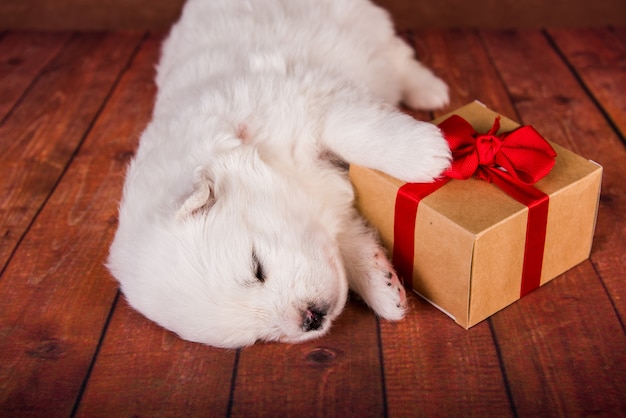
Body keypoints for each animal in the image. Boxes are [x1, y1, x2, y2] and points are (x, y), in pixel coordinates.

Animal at [107, 0, 448, 348]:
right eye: (255, 336)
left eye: (256, 267)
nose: (311, 319)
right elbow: (348, 239)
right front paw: (383, 287)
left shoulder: (309, 100)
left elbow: (353, 130)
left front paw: (426, 153)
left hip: (363, 22)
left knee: (398, 56)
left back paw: (429, 90)